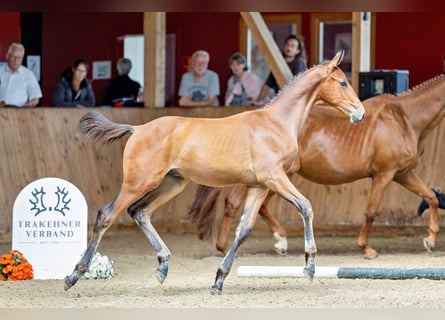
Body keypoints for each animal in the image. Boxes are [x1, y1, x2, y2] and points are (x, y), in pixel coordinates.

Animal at [63, 51, 364, 294]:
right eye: (342, 82)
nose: (360, 113)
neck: (275, 123)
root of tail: (138, 129)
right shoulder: (274, 177)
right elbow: (306, 206)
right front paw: (310, 266)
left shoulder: (259, 186)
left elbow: (244, 229)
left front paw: (219, 280)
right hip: (139, 182)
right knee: (107, 215)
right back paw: (74, 275)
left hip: (171, 184)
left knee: (139, 212)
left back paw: (162, 267)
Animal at [186, 74, 444, 258]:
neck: (405, 119)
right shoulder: (384, 174)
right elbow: (371, 211)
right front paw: (366, 248)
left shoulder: (403, 174)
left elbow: (431, 197)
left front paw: (430, 240)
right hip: (270, 177)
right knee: (233, 202)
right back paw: (226, 246)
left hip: (279, 177)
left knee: (261, 206)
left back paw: (280, 241)